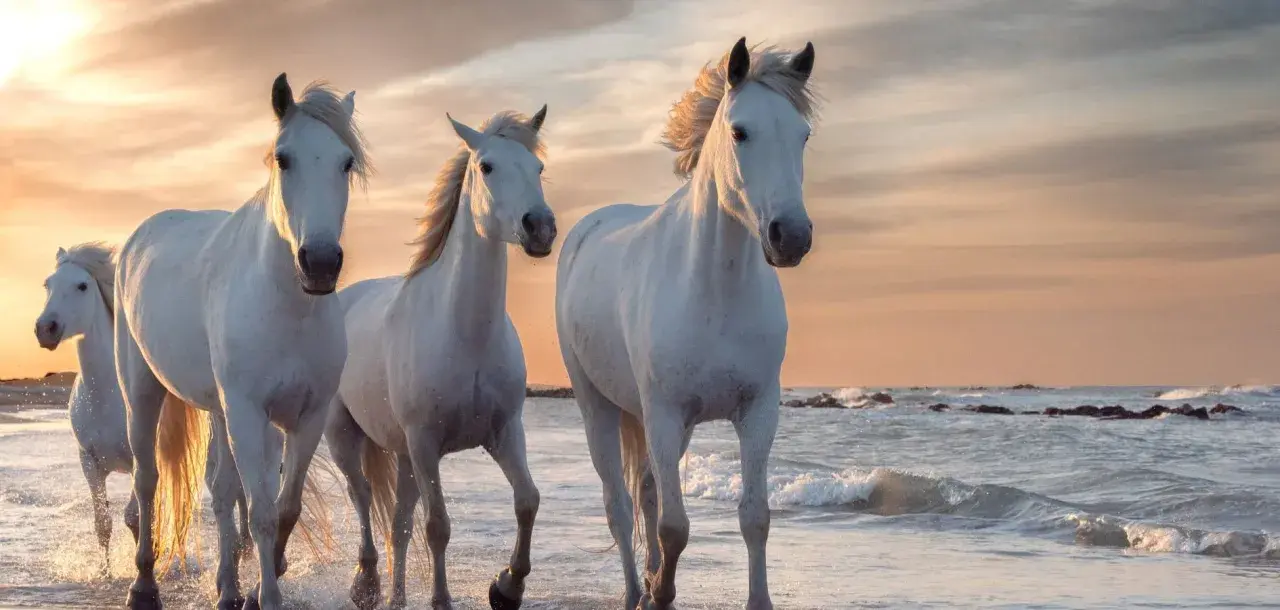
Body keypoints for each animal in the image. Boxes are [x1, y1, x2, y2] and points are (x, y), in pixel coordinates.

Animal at [34, 243, 258, 579]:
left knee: (240, 494)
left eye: (82, 286)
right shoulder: (89, 462)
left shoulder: (138, 457)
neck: (105, 395)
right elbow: (103, 524)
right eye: (47, 284)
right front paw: (106, 573)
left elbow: (134, 517)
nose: (46, 329)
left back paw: (243, 552)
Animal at [114, 73, 369, 610]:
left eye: (346, 162)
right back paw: (143, 584)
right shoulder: (249, 414)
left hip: (219, 409)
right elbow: (262, 514)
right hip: (143, 392)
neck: (288, 310)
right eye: (283, 158)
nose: (320, 263)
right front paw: (266, 596)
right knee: (147, 480)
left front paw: (255, 587)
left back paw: (227, 588)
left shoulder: (307, 417)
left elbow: (284, 508)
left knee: (221, 489)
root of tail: (139, 238)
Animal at [324, 107, 554, 610]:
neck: (466, 336)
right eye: (487, 166)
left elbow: (527, 500)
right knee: (362, 496)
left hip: (404, 455)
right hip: (345, 436)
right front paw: (444, 599)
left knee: (398, 524)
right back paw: (366, 583)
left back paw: (395, 598)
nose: (541, 228)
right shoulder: (426, 443)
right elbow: (438, 527)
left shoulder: (504, 432)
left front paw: (506, 587)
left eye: (538, 167)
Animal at [554, 38, 817, 610]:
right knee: (620, 504)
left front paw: (754, 600)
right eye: (740, 132)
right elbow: (675, 527)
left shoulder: (757, 412)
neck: (715, 293)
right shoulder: (665, 413)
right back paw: (637, 589)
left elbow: (754, 518)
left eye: (803, 135)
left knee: (648, 492)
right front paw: (661, 590)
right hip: (597, 407)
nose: (791, 237)